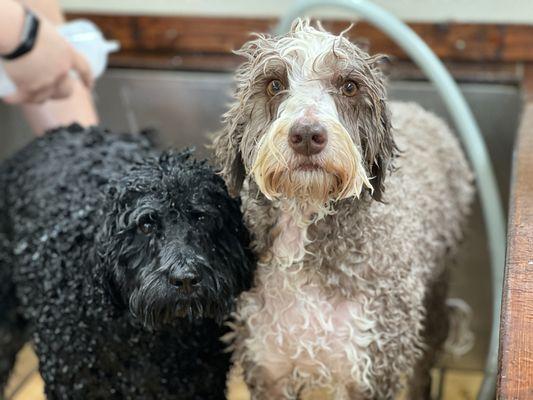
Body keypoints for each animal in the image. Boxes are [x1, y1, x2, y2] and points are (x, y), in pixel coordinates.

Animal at [214, 18, 472, 396]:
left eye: (349, 86)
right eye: (274, 84)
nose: (307, 135)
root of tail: (421, 111)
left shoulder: (372, 368)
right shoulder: (267, 368)